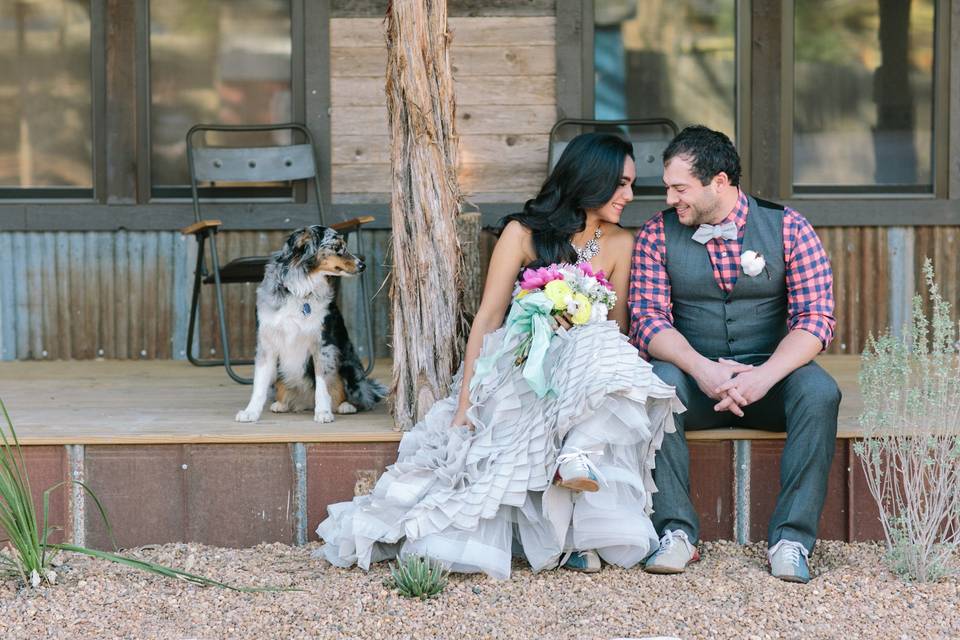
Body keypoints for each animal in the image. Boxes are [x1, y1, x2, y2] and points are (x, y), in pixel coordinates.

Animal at [235, 226, 386, 424]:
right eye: (337, 247)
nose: (363, 265)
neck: (300, 290)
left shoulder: (322, 345)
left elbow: (323, 383)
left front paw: (323, 412)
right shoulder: (266, 344)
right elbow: (258, 385)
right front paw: (250, 412)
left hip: (349, 364)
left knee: (357, 395)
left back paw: (345, 405)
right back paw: (281, 403)